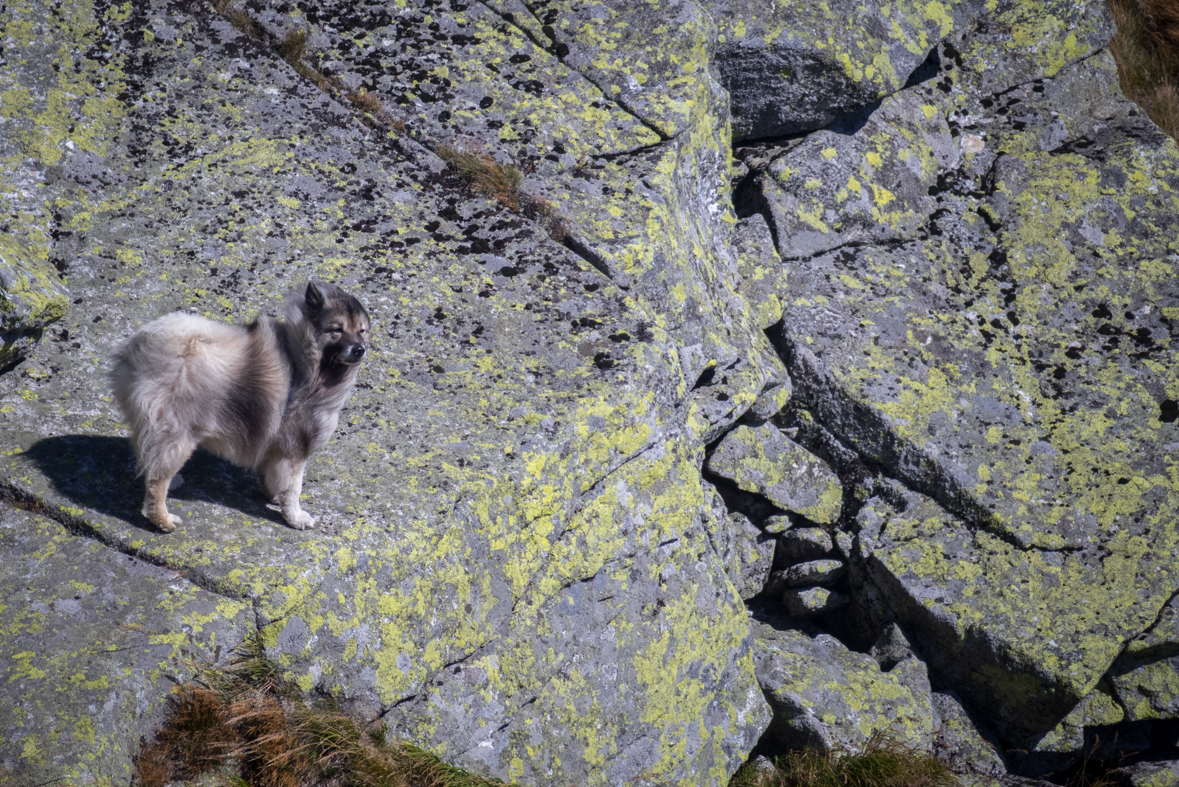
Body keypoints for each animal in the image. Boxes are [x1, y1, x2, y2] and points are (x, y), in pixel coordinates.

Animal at [110, 279, 370, 532]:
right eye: (337, 330)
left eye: (362, 331)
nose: (359, 349)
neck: (306, 363)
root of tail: (146, 349)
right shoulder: (294, 448)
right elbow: (293, 487)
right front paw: (296, 518)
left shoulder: (275, 445)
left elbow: (271, 477)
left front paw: (274, 498)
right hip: (179, 434)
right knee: (156, 480)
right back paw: (163, 520)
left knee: (147, 457)